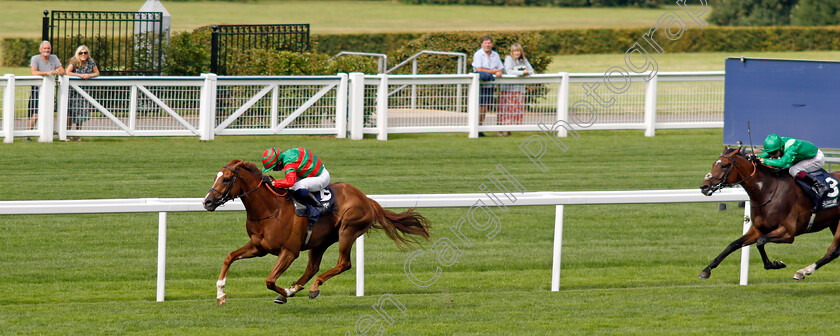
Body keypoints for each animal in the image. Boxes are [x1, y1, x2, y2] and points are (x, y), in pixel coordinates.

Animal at [201, 159, 430, 306]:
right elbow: (229, 257)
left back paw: (311, 287)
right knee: (313, 267)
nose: (207, 202)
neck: (269, 209)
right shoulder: (258, 247)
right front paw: (220, 294)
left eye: (226, 179)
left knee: (343, 263)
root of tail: (366, 198)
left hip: (348, 229)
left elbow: (270, 280)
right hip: (320, 241)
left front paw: (286, 291)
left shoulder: (289, 251)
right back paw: (299, 287)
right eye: (215, 177)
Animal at [700, 147, 840, 280]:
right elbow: (733, 244)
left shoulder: (788, 232)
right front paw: (706, 270)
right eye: (713, 164)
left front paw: (775, 264)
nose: (704, 187)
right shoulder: (758, 229)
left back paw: (803, 271)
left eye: (724, 165)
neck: (767, 191)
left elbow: (761, 241)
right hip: (833, 222)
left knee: (832, 251)